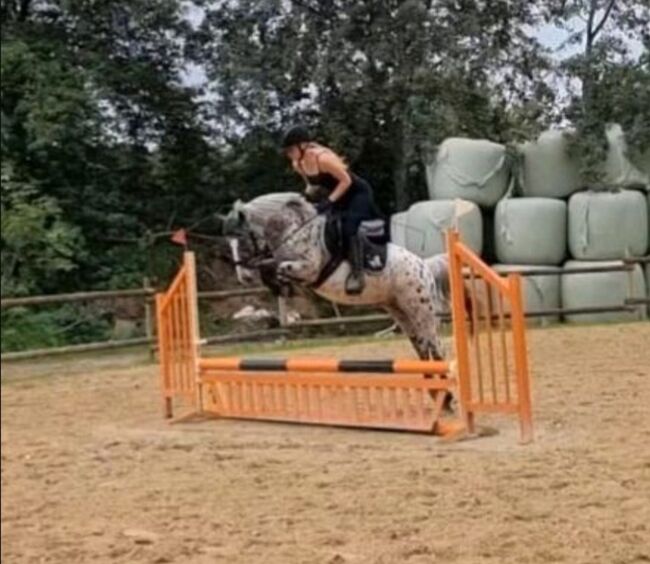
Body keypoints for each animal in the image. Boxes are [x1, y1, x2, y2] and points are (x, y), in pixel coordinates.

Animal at [220, 194, 448, 362]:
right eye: (229, 243)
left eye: (242, 241)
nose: (244, 278)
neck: (293, 230)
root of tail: (424, 266)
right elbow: (272, 266)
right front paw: (279, 287)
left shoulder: (309, 269)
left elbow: (279, 266)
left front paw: (280, 285)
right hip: (400, 311)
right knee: (423, 348)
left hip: (421, 309)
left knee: (436, 347)